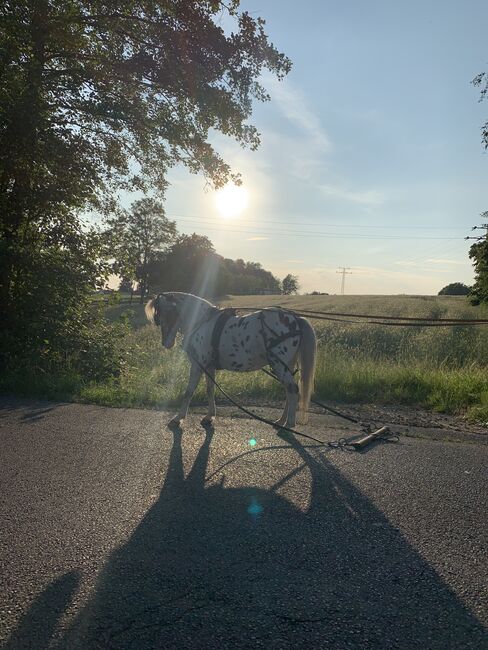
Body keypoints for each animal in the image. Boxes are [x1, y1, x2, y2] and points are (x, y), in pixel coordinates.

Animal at [145, 292, 316, 428]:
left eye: (159, 315)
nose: (166, 344)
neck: (202, 321)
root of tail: (295, 319)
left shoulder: (197, 365)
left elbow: (189, 392)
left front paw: (178, 418)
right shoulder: (208, 366)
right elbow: (210, 389)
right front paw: (210, 416)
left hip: (279, 365)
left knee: (293, 389)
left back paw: (289, 424)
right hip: (286, 365)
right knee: (289, 391)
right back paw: (281, 421)